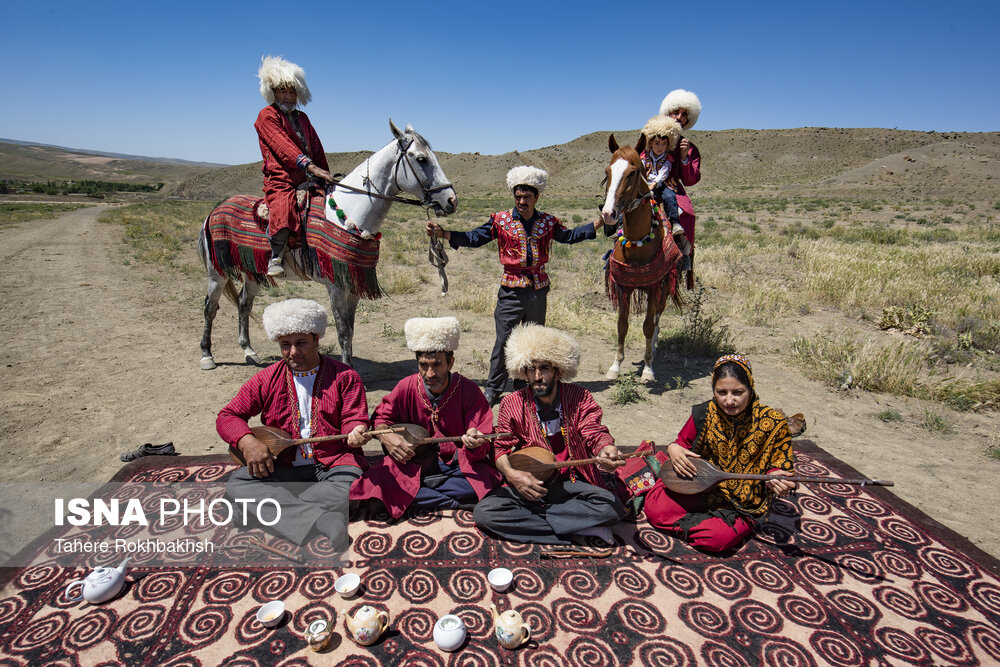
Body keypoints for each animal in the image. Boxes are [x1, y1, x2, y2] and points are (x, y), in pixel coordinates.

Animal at [197, 120, 456, 370]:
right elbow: (343, 332)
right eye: (421, 159)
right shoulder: (336, 287)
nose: (451, 200)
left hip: (252, 272)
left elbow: (350, 331)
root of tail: (214, 210)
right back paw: (207, 356)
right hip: (217, 272)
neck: (347, 213)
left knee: (243, 304)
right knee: (210, 307)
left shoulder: (352, 285)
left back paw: (249, 351)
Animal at [600, 133, 680, 380]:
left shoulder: (654, 287)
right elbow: (622, 324)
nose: (608, 214)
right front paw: (615, 365)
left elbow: (647, 326)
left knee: (656, 319)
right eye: (607, 171)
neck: (637, 243)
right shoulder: (624, 286)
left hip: (664, 287)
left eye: (633, 172)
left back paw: (653, 347)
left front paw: (648, 368)